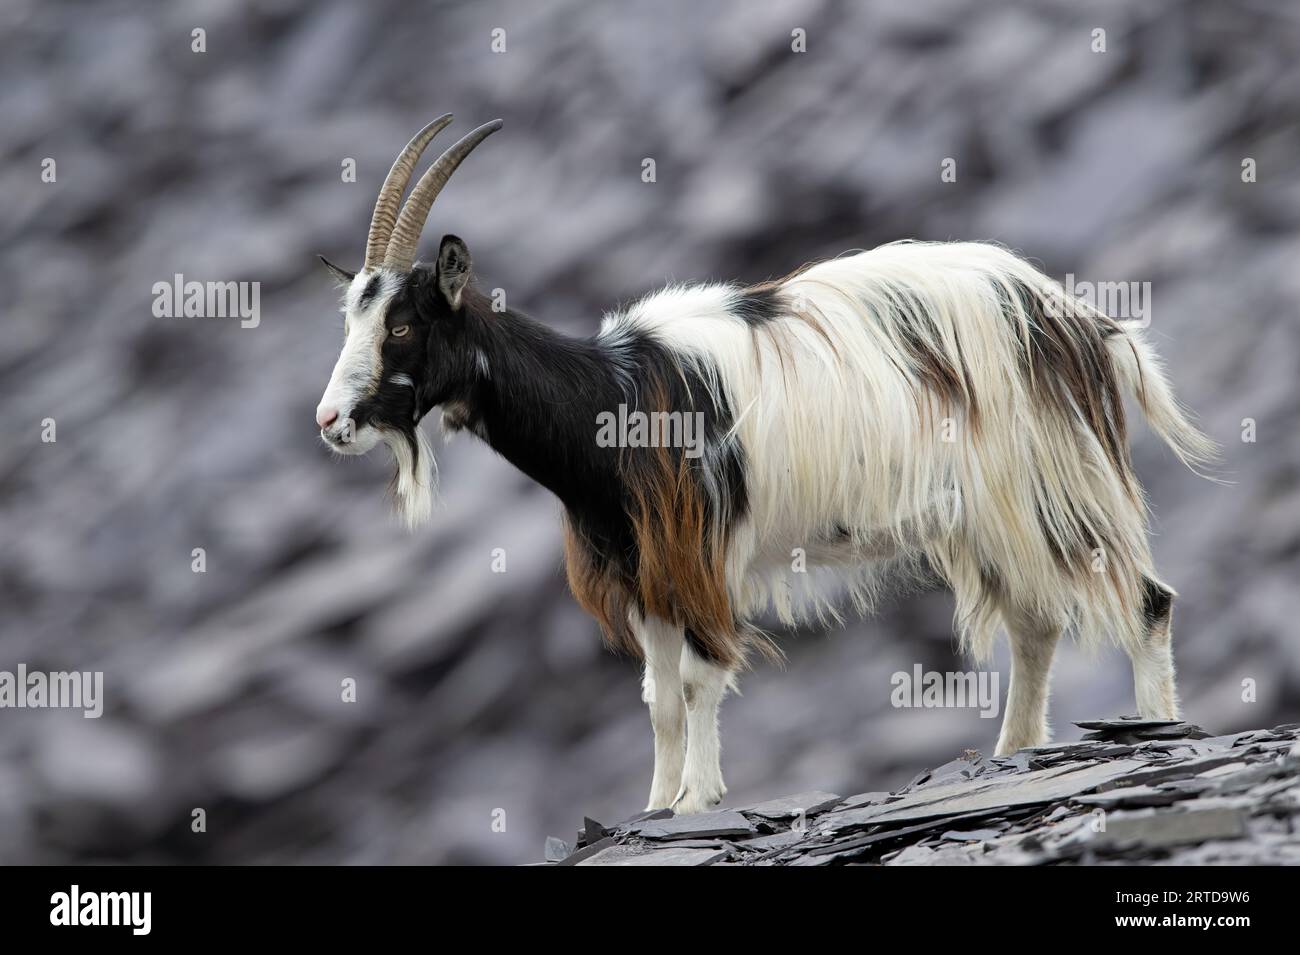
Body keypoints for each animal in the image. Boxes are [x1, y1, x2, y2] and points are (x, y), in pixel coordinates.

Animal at [317, 117, 1216, 815]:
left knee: (1146, 599)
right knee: (1037, 623)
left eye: (403, 325)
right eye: (353, 315)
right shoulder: (641, 570)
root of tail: (1085, 322)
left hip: (1051, 478)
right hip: (991, 511)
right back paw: (1011, 750)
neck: (609, 398)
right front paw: (657, 803)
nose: (329, 421)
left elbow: (700, 679)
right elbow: (658, 699)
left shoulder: (698, 550)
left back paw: (1152, 727)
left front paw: (699, 798)